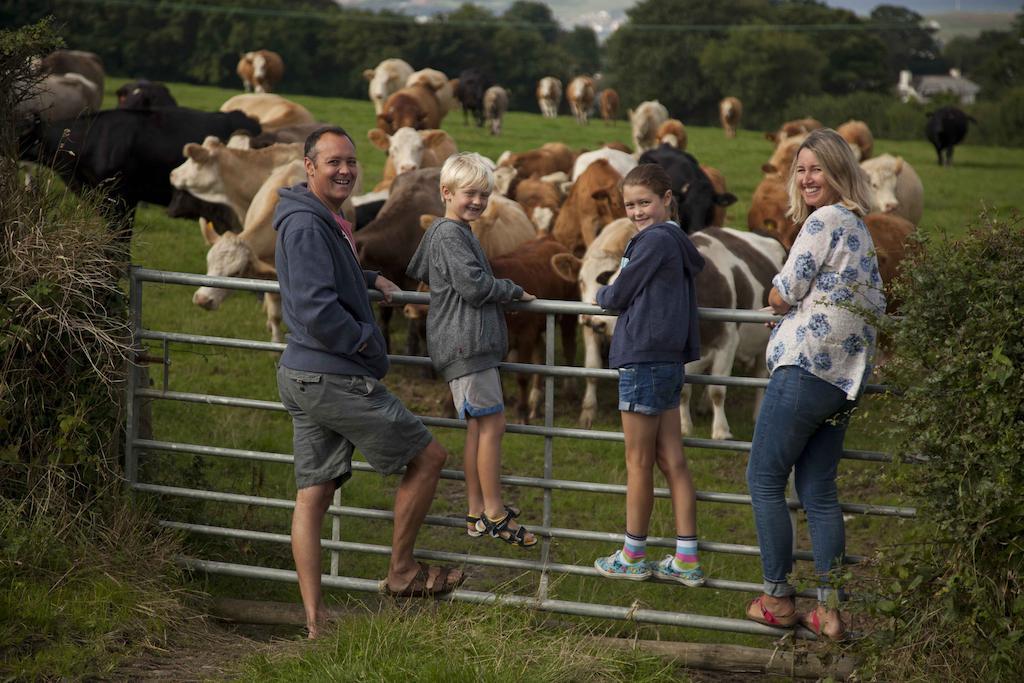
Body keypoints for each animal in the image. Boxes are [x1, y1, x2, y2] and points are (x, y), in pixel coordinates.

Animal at [552, 219, 782, 436]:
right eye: (581, 281)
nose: (596, 322)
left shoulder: (728, 341)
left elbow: (718, 389)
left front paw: (721, 431)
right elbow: (684, 390)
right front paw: (685, 426)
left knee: (760, 376)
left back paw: (757, 414)